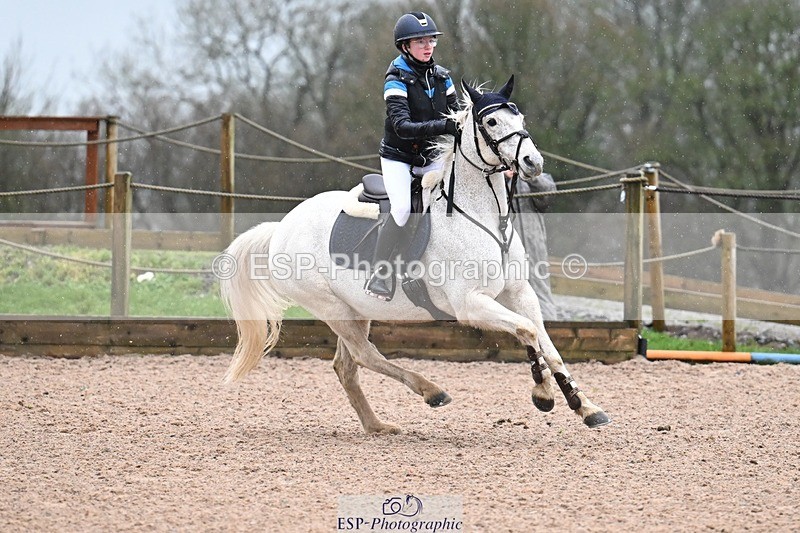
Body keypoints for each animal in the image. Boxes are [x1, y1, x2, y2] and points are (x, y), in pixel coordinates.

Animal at [220, 75, 611, 433]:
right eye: (491, 122)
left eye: (520, 117)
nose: (532, 163)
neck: (484, 219)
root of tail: (280, 228)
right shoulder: (471, 304)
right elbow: (527, 332)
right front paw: (542, 394)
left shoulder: (519, 293)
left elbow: (547, 342)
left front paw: (586, 407)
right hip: (332, 309)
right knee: (365, 355)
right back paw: (431, 391)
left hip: (356, 309)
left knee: (347, 367)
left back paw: (377, 425)